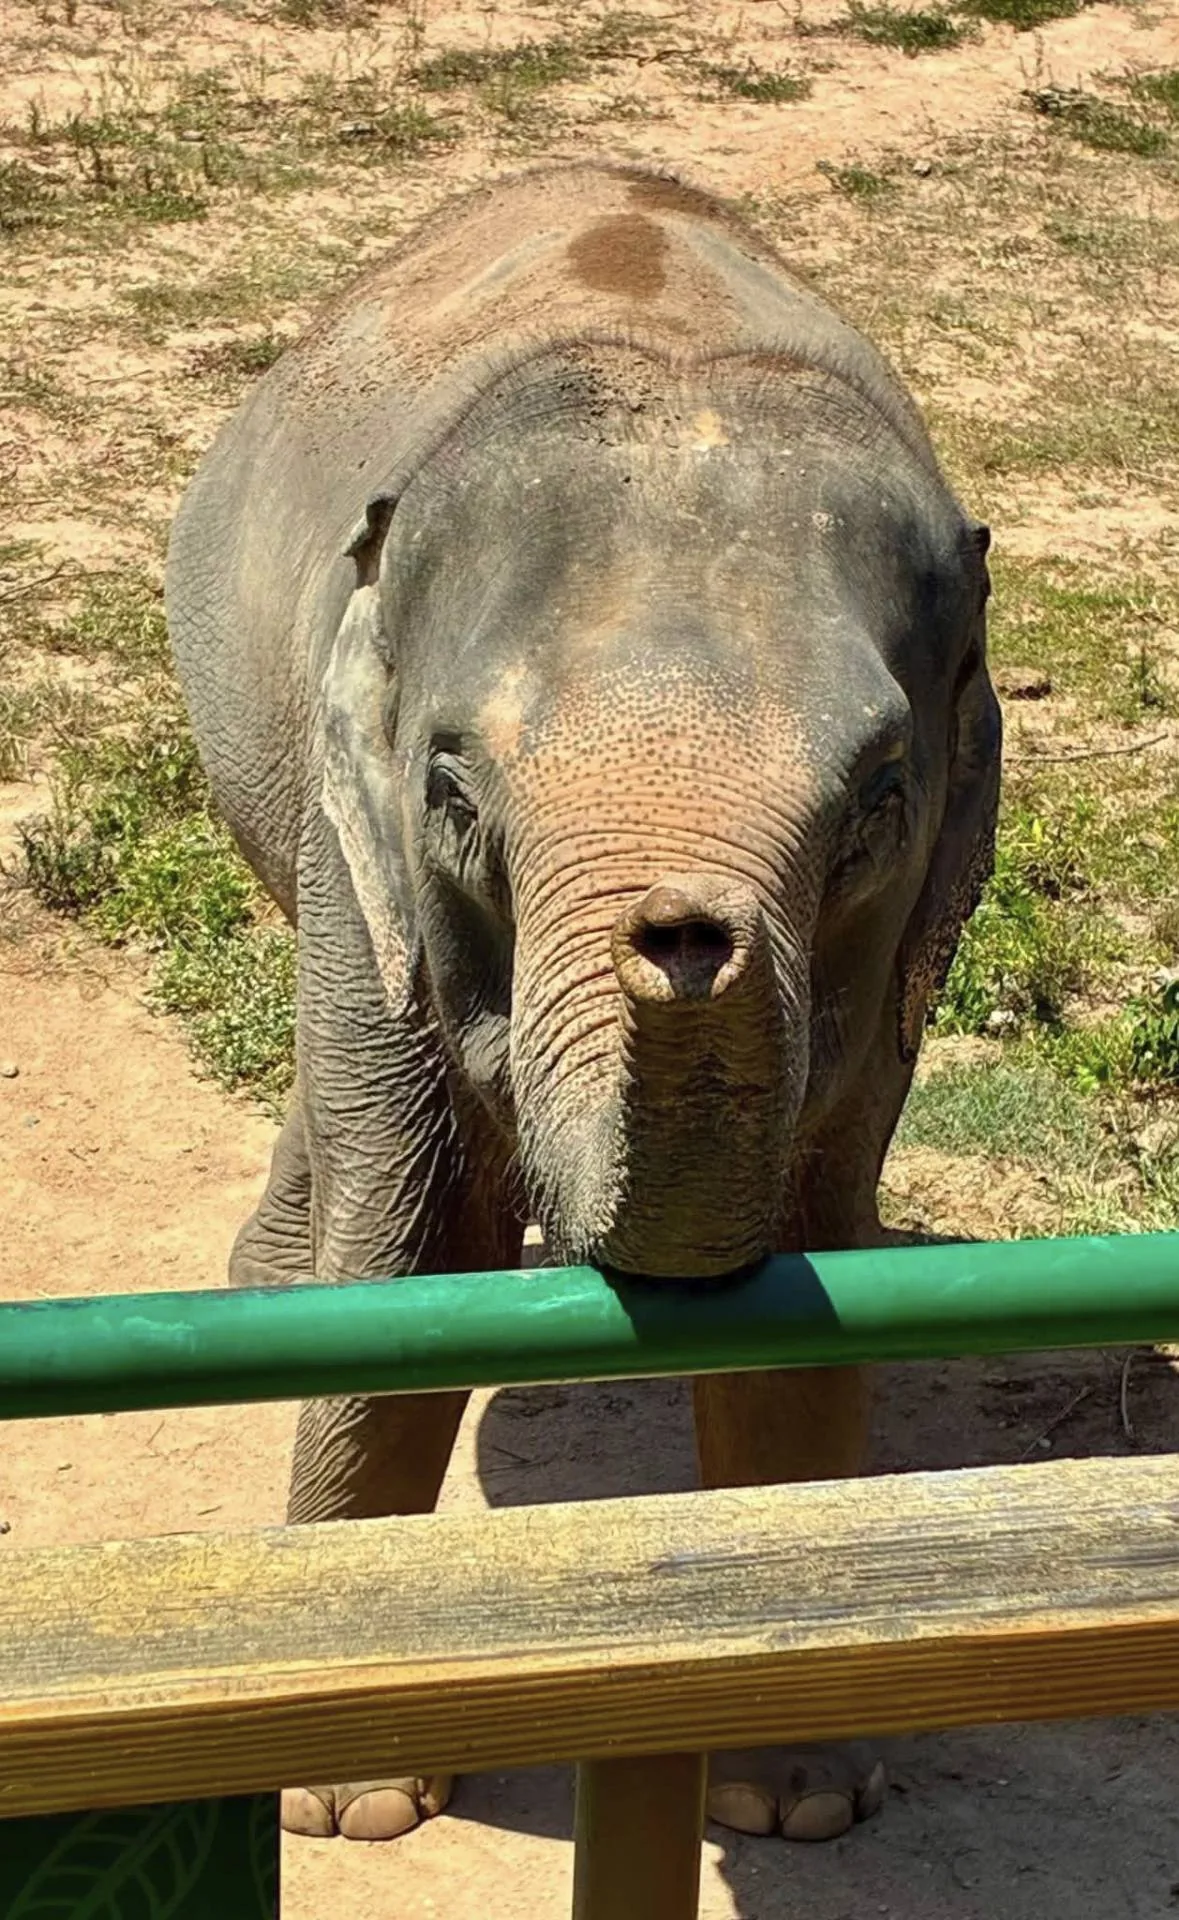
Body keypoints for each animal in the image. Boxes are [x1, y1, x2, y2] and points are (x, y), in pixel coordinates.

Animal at [165, 162, 1000, 1848]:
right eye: (453, 789)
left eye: (876, 802)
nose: (681, 933)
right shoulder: (371, 844)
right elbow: (419, 1233)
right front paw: (350, 1809)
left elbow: (809, 1249)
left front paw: (796, 1803)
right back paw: (272, 1285)